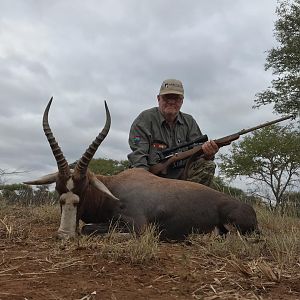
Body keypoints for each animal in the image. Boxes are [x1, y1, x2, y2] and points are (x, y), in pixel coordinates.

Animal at [24, 98, 258, 241]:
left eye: (84, 189)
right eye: (58, 190)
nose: (64, 234)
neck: (114, 188)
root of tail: (248, 208)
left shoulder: (138, 227)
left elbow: (87, 228)